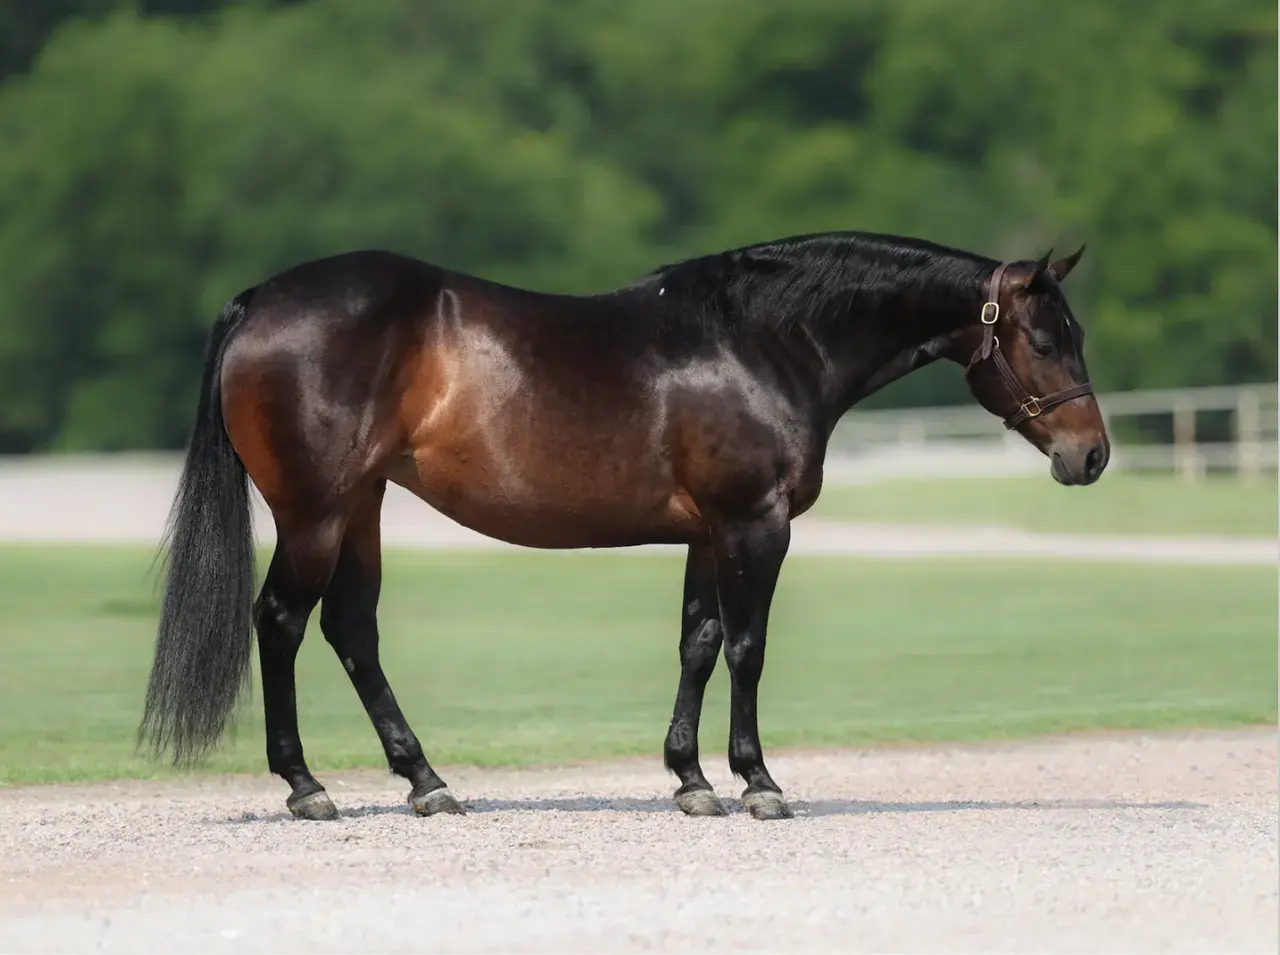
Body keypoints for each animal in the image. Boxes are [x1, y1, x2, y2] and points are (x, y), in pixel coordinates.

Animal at [138, 230, 1108, 822]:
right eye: (1047, 339)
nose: (1092, 455)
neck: (762, 341)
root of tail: (262, 299)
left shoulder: (708, 534)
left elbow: (699, 643)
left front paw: (691, 779)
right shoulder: (754, 525)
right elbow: (749, 647)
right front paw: (758, 781)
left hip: (361, 507)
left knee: (351, 630)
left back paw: (425, 780)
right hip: (315, 511)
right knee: (282, 622)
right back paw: (307, 785)